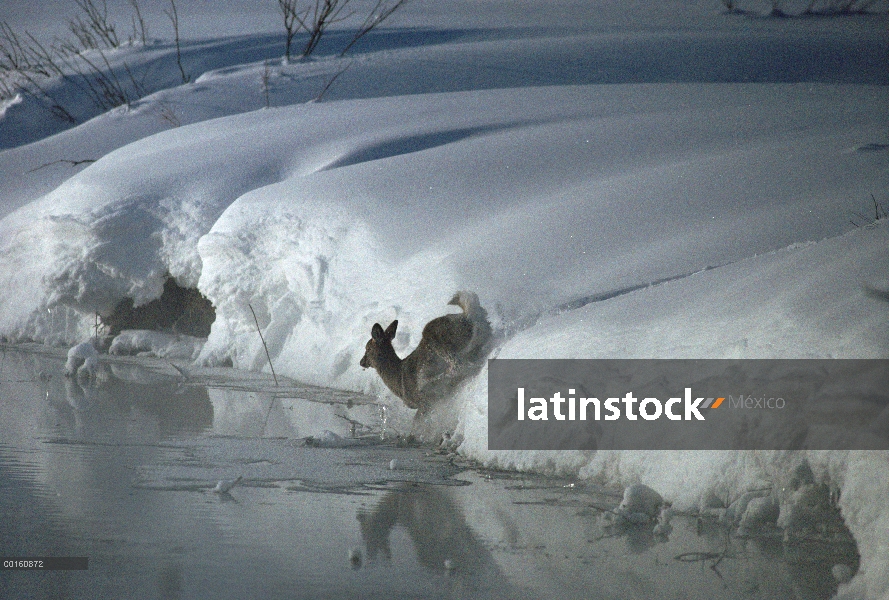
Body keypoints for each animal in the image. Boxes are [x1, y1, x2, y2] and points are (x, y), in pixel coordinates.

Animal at [360, 292, 492, 412]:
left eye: (367, 349)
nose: (361, 362)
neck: (398, 379)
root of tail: (468, 317)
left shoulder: (424, 404)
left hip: (437, 340)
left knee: (459, 366)